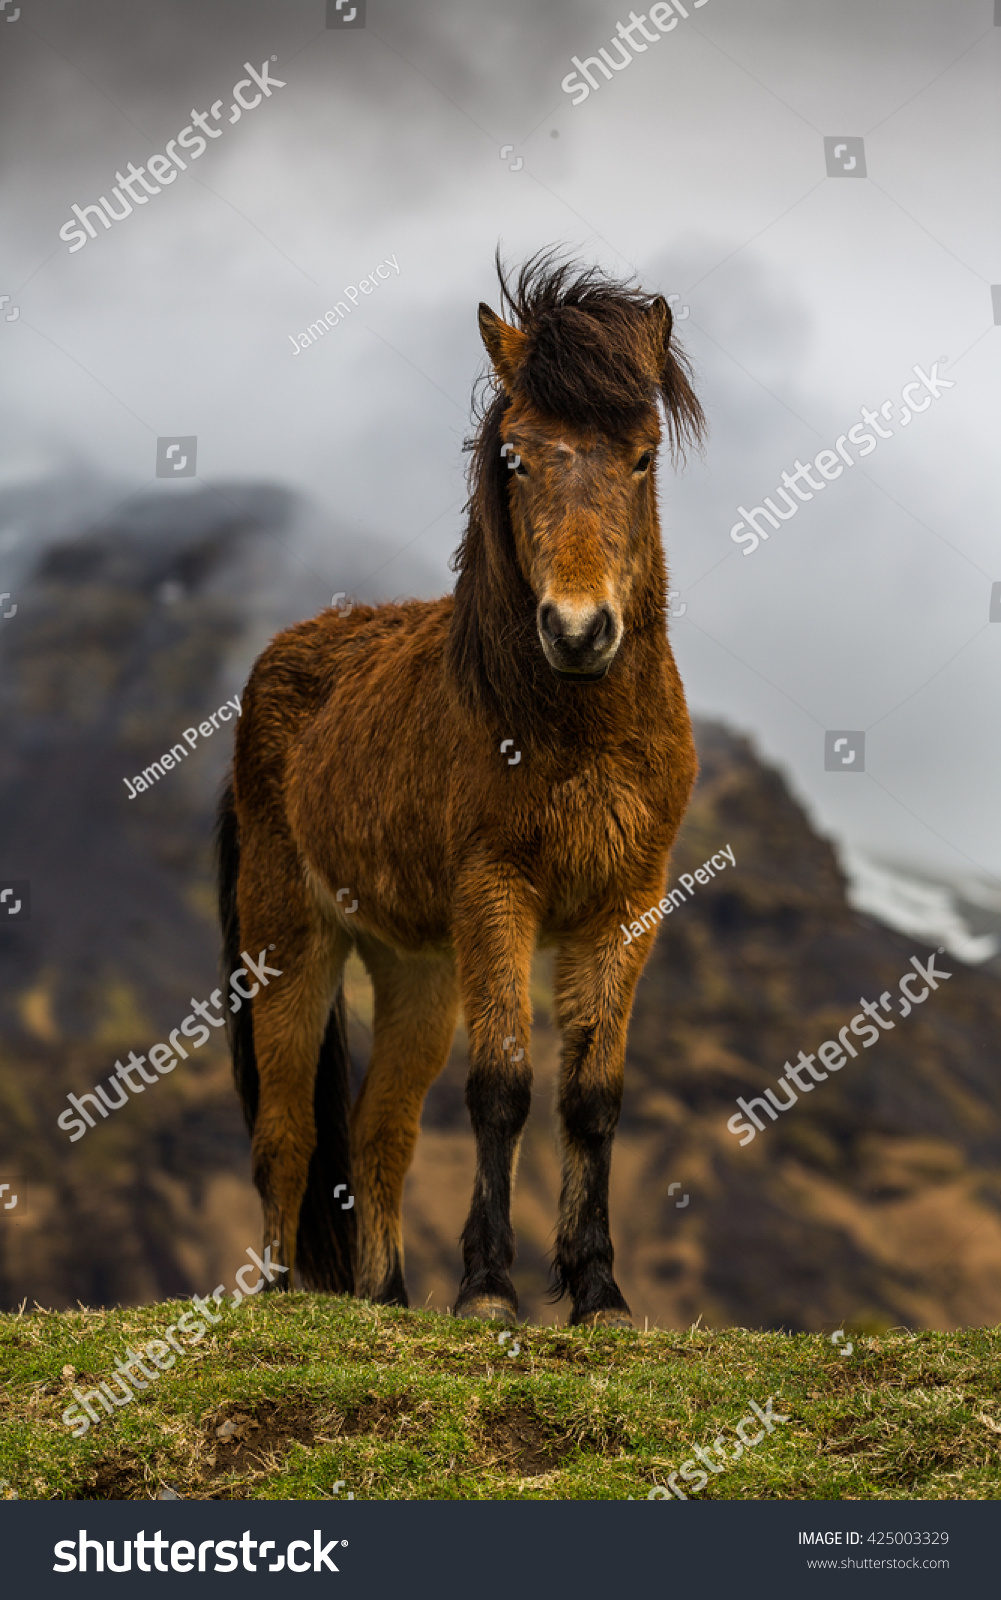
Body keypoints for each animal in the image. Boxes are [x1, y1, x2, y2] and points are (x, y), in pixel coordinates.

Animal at [217, 252, 705, 1328]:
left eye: (643, 456)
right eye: (515, 457)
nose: (578, 630)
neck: (567, 727)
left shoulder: (626, 904)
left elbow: (590, 1096)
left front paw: (598, 1291)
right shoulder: (496, 893)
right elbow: (503, 1087)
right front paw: (487, 1290)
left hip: (415, 973)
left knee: (377, 1134)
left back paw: (387, 1297)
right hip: (291, 940)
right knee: (285, 1134)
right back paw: (282, 1297)